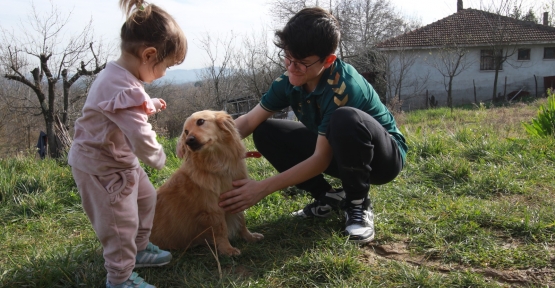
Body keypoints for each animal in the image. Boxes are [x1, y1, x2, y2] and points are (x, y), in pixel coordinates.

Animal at [150, 110, 264, 256]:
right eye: (186, 131)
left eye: (200, 121)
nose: (188, 141)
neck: (217, 163)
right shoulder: (213, 210)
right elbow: (222, 230)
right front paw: (227, 249)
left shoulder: (237, 197)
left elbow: (241, 221)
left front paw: (249, 237)